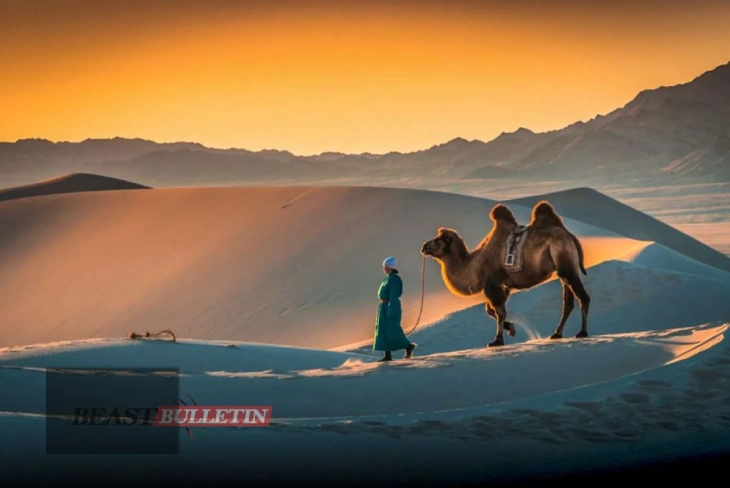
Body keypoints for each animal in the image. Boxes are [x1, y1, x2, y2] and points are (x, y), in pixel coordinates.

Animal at [418, 201, 588, 346]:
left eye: (439, 238)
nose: (424, 246)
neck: (476, 264)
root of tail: (570, 236)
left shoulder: (492, 283)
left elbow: (499, 312)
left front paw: (497, 340)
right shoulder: (502, 286)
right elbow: (490, 310)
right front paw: (511, 328)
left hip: (565, 261)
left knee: (583, 297)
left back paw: (582, 332)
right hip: (564, 269)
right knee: (568, 303)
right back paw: (557, 334)